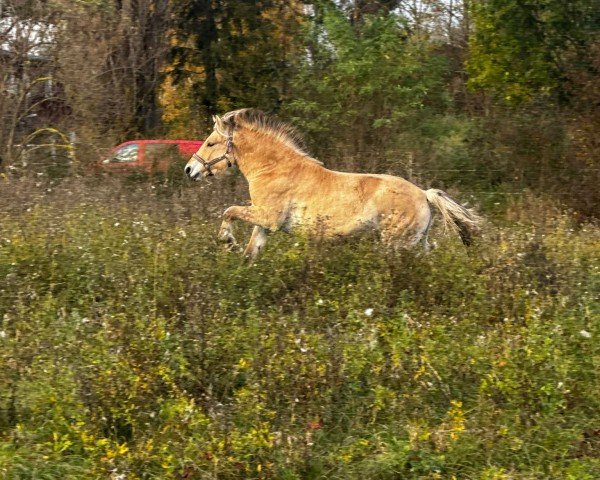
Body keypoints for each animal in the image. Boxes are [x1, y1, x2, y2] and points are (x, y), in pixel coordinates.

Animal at [185, 109, 480, 260]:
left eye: (210, 143)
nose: (190, 169)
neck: (274, 169)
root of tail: (424, 195)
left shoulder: (268, 217)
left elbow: (229, 211)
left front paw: (227, 241)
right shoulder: (264, 224)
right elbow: (250, 253)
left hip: (396, 245)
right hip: (417, 244)